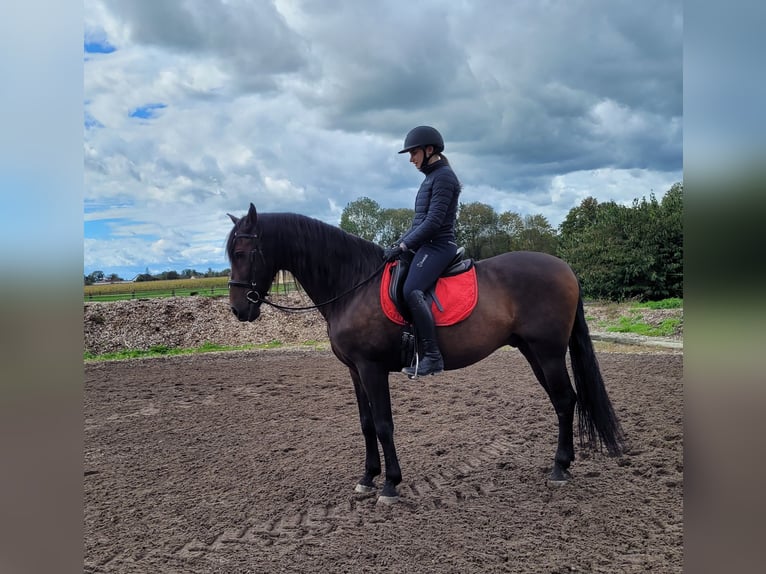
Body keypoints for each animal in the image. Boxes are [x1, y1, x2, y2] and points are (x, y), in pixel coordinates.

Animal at [226, 202, 624, 504]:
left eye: (243, 252)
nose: (238, 310)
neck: (353, 285)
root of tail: (565, 268)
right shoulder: (354, 370)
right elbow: (366, 423)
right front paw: (367, 478)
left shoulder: (371, 368)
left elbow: (384, 424)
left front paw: (390, 484)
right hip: (533, 351)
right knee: (564, 400)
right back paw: (562, 464)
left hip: (549, 352)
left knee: (565, 400)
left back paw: (559, 467)